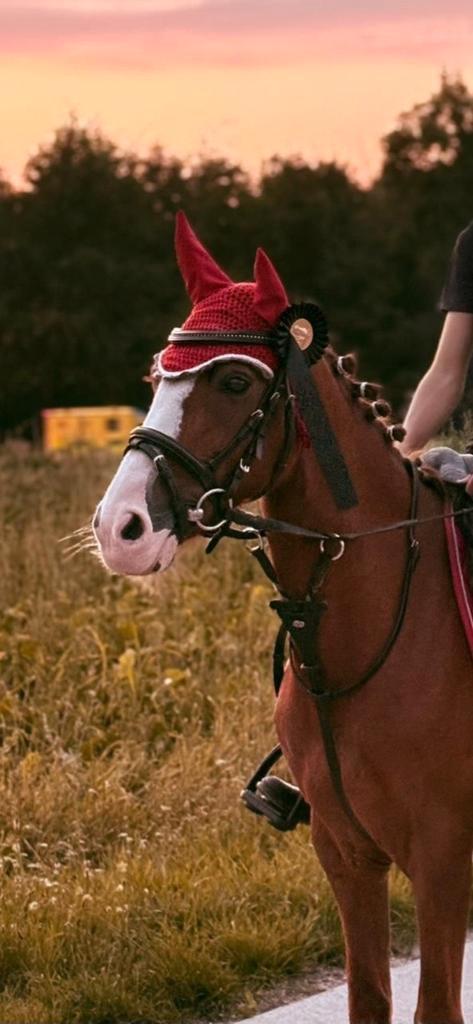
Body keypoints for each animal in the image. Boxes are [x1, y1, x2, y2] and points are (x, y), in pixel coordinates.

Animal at [93, 213, 473, 1024]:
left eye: (235, 380)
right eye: (156, 380)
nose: (120, 528)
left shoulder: (441, 858)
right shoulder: (346, 852)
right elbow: (368, 997)